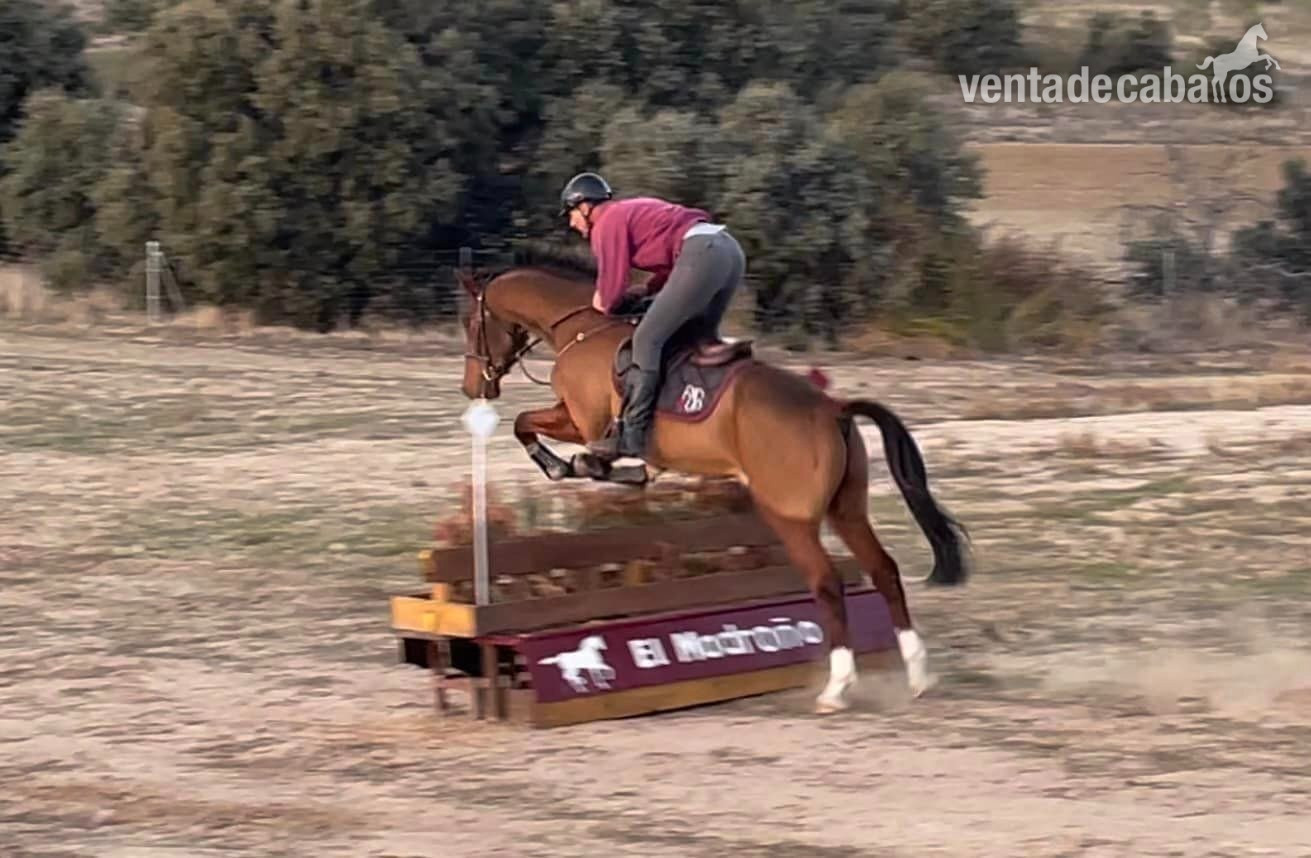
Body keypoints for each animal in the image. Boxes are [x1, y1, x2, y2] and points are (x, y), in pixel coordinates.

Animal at [456, 253, 970, 713]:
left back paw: (836, 689)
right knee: (883, 570)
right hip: (846, 510)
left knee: (826, 582)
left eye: (470, 322)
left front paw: (571, 466)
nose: (472, 388)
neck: (579, 327)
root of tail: (832, 409)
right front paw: (599, 470)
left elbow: (527, 424)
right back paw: (918, 675)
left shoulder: (584, 421)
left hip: (789, 516)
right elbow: (525, 423)